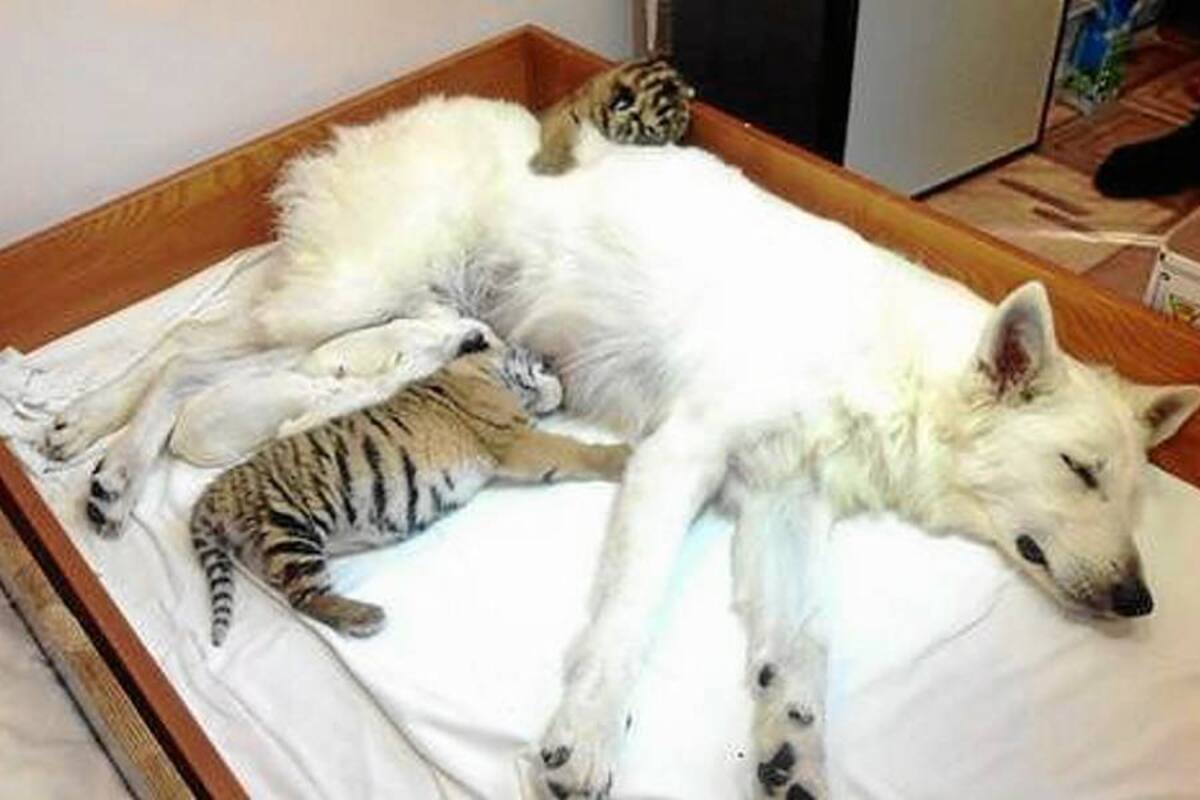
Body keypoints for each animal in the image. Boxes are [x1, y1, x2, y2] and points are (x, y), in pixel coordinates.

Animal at [190, 336, 631, 646]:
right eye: (541, 362)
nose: (558, 367)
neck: (477, 370)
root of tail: (216, 490)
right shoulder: (514, 440)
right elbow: (572, 449)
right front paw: (623, 455)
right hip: (289, 523)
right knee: (304, 596)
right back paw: (366, 617)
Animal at [529, 56, 695, 176]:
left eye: (676, 138)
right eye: (653, 135)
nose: (668, 149)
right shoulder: (567, 111)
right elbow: (558, 134)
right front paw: (551, 165)